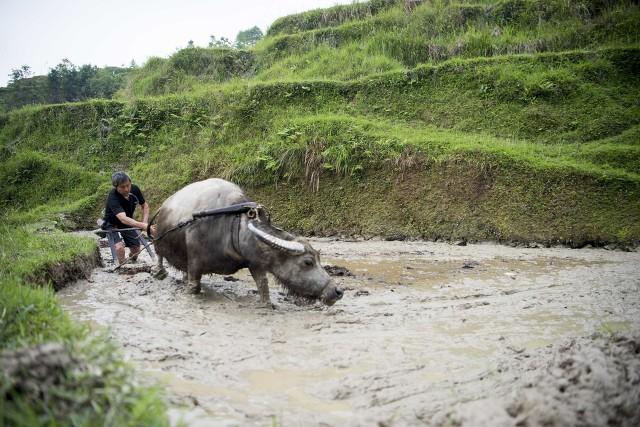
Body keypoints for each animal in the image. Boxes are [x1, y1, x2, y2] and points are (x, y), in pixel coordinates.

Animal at [151, 178, 344, 308]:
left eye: (319, 259)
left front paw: (267, 305)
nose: (337, 291)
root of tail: (163, 205)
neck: (232, 227)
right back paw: (158, 272)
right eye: (308, 262)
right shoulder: (196, 264)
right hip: (157, 240)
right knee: (158, 255)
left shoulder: (255, 262)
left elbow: (263, 285)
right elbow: (193, 287)